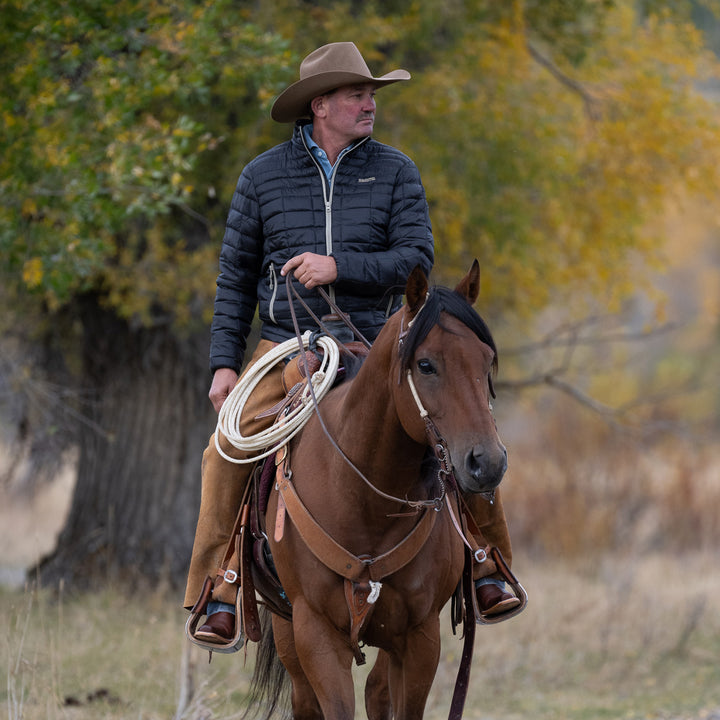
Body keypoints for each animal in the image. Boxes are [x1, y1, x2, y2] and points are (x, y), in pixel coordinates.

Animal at [253, 262, 506, 716]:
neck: (364, 500)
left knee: (376, 690)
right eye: (425, 364)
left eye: (487, 358)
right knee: (306, 699)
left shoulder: (421, 636)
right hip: (287, 630)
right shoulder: (315, 632)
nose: (488, 462)